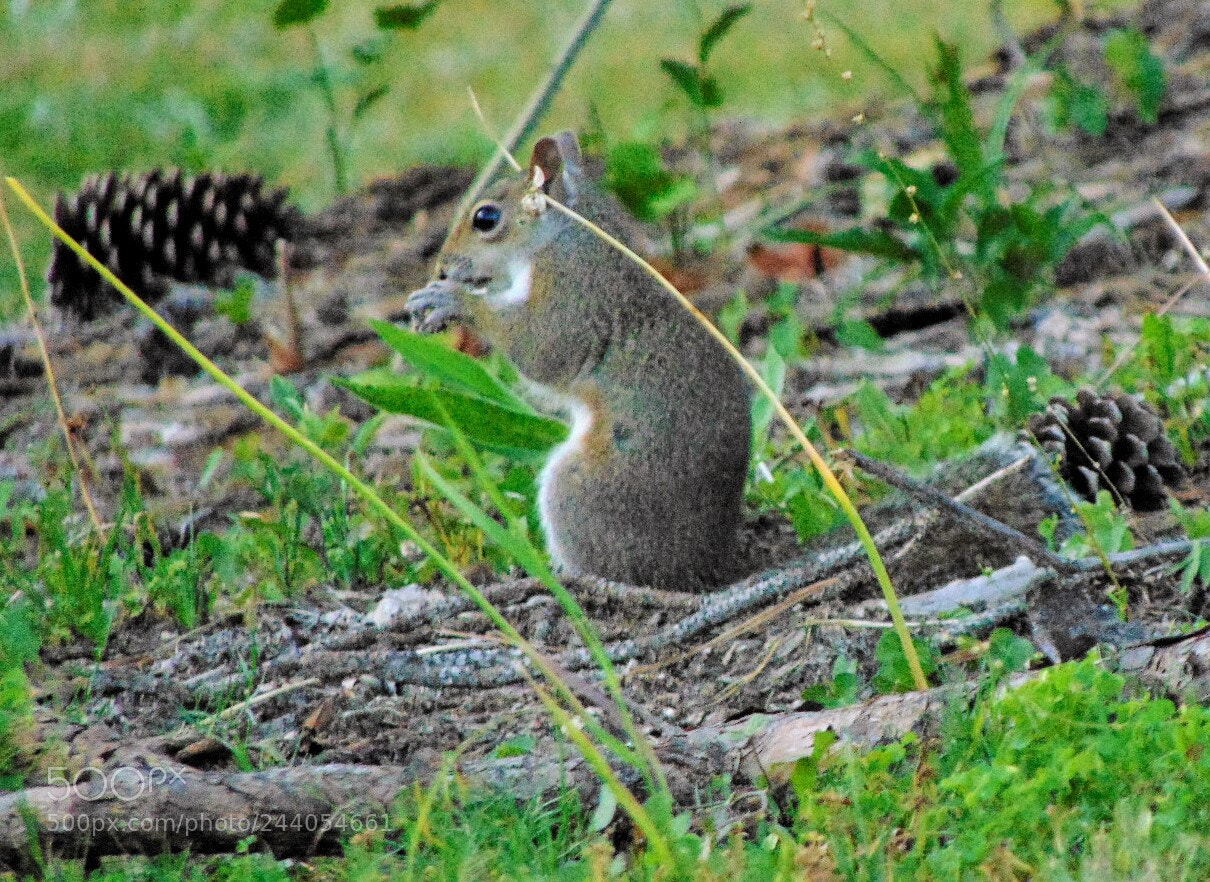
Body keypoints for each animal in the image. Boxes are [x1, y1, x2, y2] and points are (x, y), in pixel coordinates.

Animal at [405, 132, 751, 590]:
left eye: (486, 218)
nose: (443, 269)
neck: (567, 234)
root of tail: (702, 569)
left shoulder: (573, 291)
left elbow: (542, 348)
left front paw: (454, 302)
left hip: (583, 489)